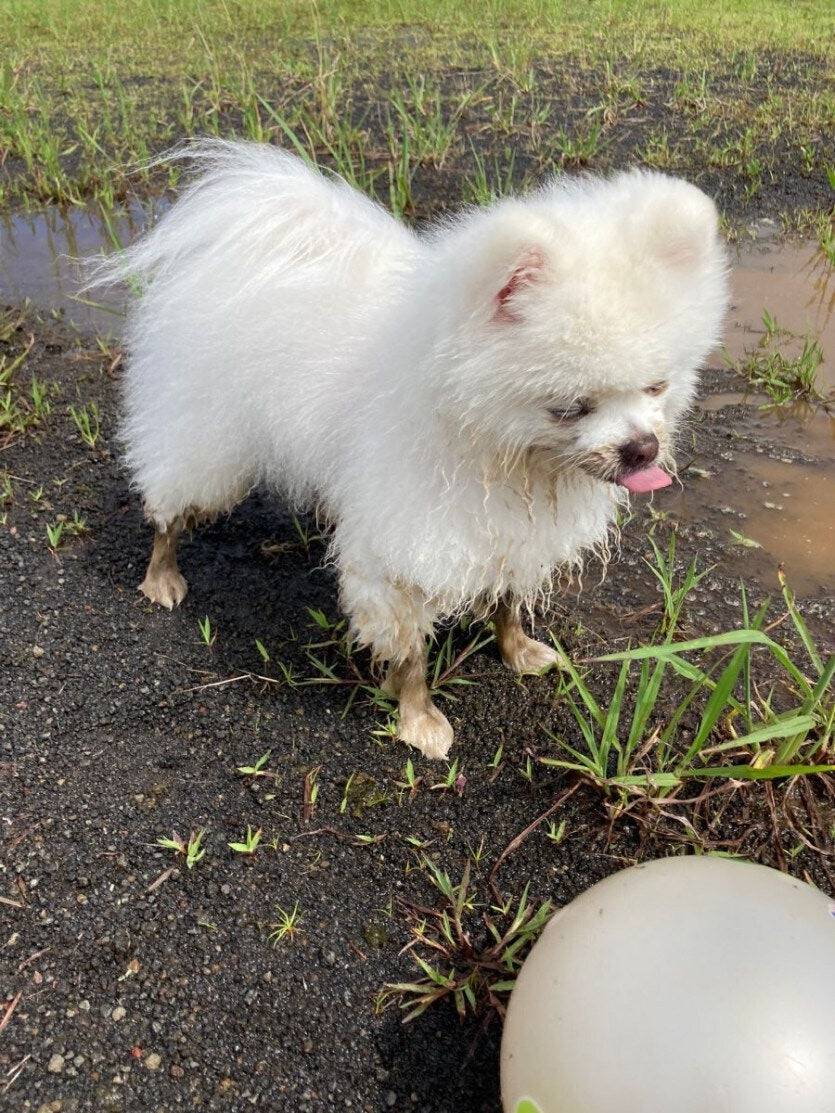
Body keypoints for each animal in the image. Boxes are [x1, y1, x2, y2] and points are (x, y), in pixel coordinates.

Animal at [96, 141, 725, 756]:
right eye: (572, 405)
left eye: (657, 386)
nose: (642, 448)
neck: (503, 452)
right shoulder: (405, 547)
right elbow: (410, 652)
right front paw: (419, 720)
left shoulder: (510, 530)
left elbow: (508, 600)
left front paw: (517, 650)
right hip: (205, 444)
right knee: (170, 509)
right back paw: (161, 576)